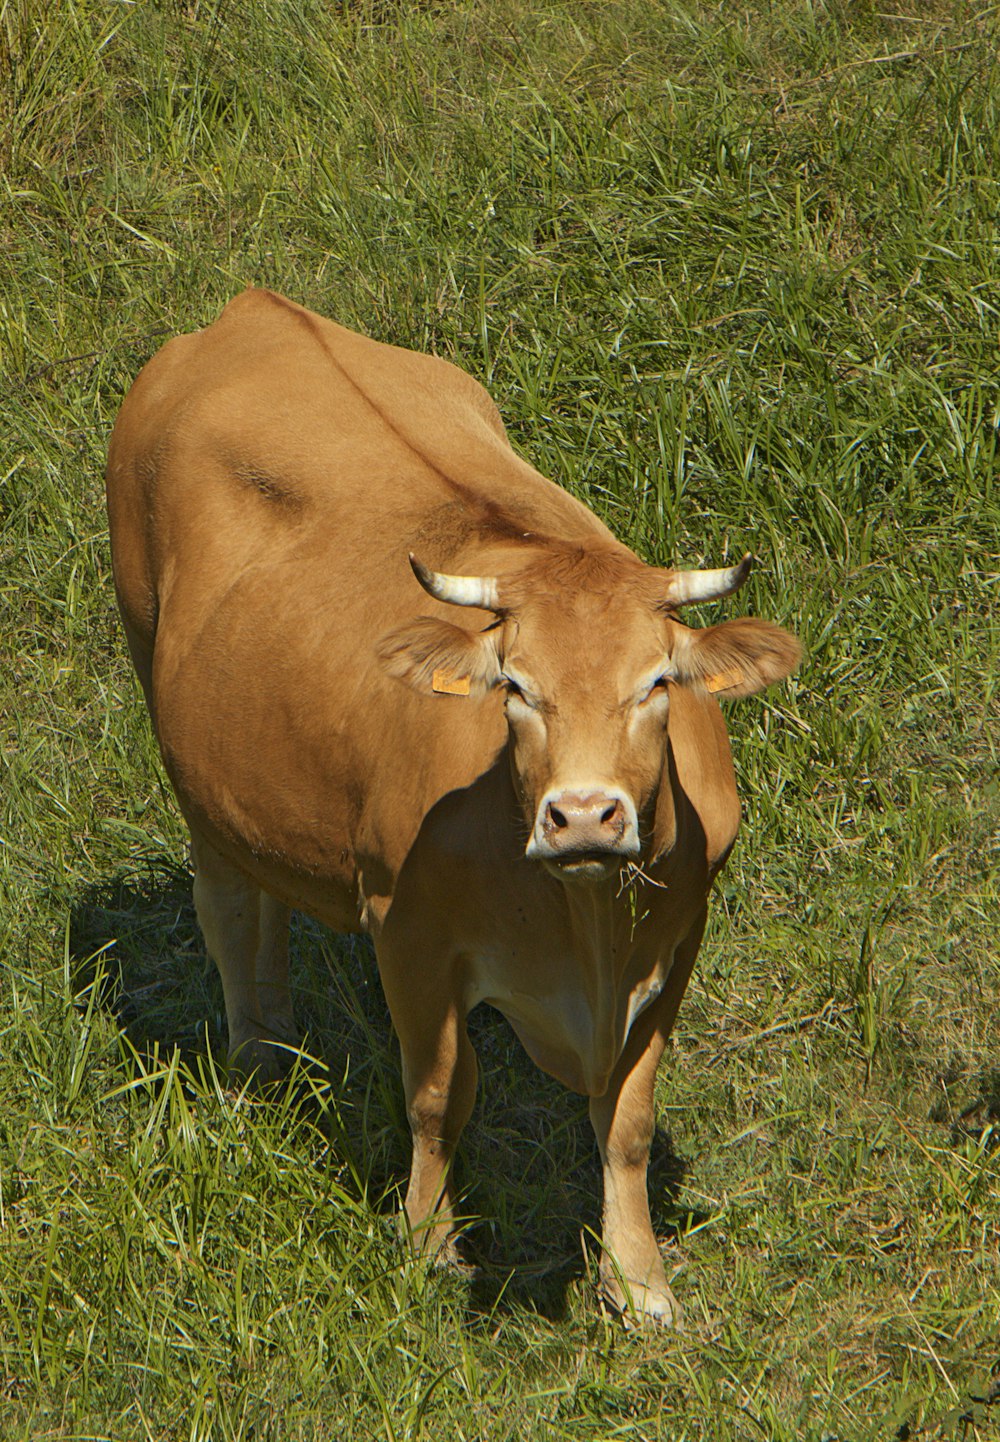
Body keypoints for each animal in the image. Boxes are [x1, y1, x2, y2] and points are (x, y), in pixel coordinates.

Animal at [105, 289, 802, 1326]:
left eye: (656, 683)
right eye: (514, 687)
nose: (583, 816)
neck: (584, 930)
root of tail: (253, 312)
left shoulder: (681, 932)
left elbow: (628, 1119)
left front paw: (637, 1281)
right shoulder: (408, 930)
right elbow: (439, 1095)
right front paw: (428, 1246)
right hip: (167, 708)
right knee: (229, 907)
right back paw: (256, 1067)